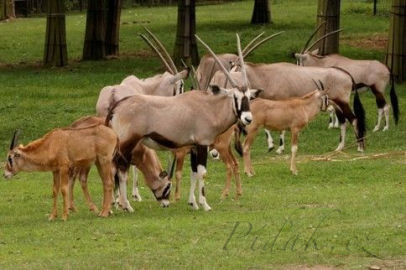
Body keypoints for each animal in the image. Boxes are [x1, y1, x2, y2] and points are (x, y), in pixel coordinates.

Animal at [106, 34, 262, 211]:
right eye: (235, 97)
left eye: (249, 97)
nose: (247, 118)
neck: (210, 107)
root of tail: (117, 106)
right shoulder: (202, 144)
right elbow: (202, 172)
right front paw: (205, 204)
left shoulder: (193, 147)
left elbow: (193, 172)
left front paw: (193, 203)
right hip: (127, 144)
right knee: (121, 171)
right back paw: (126, 206)